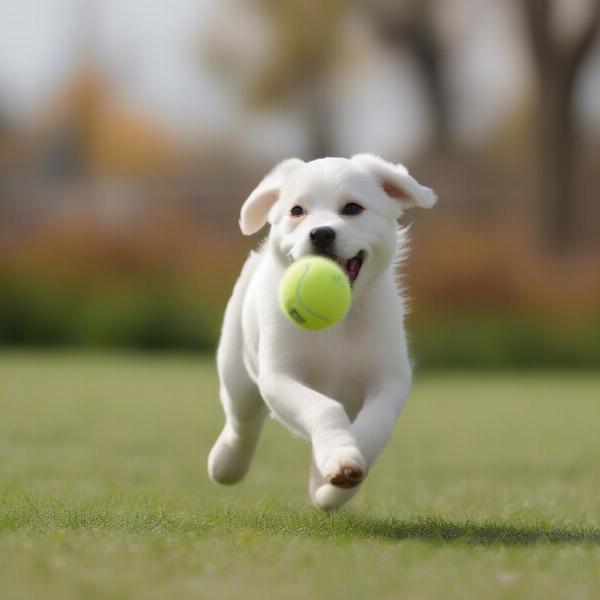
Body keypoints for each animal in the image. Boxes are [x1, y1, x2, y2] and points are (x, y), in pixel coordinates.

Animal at [206, 155, 436, 510]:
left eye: (353, 208)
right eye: (297, 211)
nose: (321, 233)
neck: (339, 325)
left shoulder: (389, 380)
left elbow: (374, 427)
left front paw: (342, 470)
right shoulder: (280, 375)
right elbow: (323, 408)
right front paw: (339, 458)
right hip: (236, 371)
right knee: (241, 422)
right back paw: (225, 464)